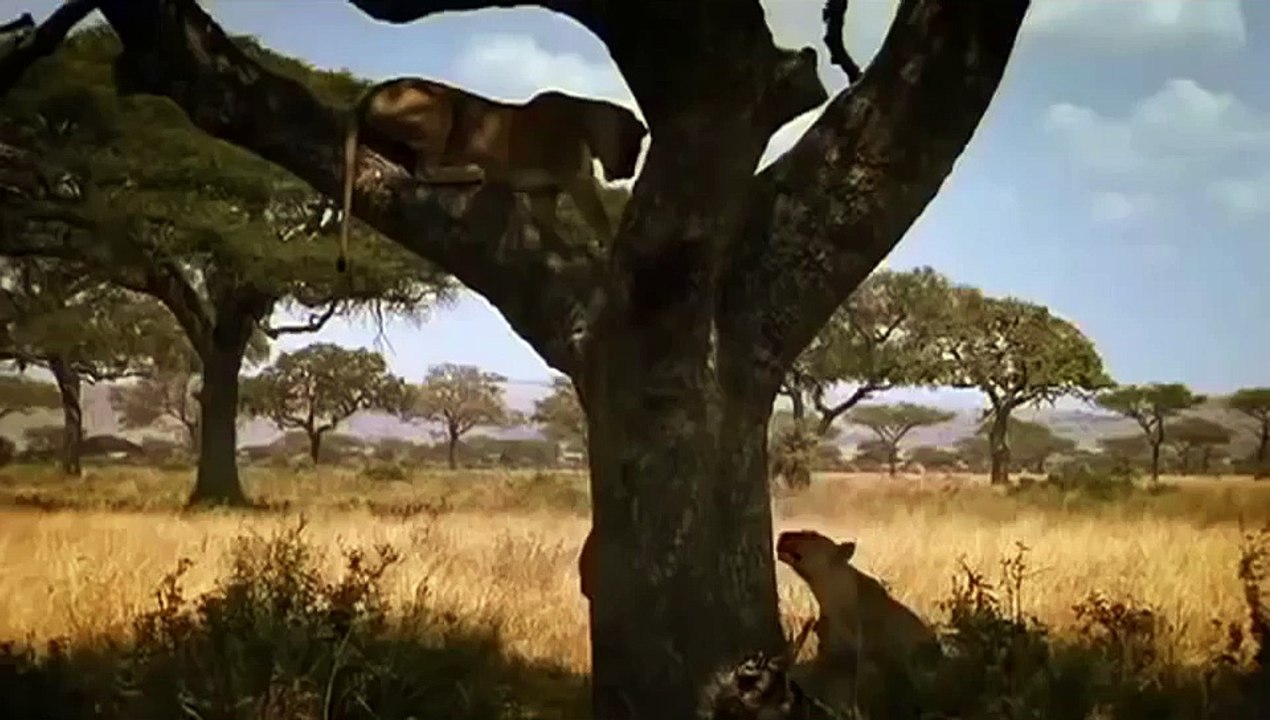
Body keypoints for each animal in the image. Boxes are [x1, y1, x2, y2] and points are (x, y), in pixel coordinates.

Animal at [338, 76, 647, 273]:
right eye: (635, 148)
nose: (629, 172)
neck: (586, 120)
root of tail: (377, 88)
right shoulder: (576, 177)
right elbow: (598, 218)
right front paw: (608, 247)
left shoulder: (543, 193)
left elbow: (551, 225)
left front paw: (575, 250)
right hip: (440, 105)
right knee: (425, 169)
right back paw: (476, 172)